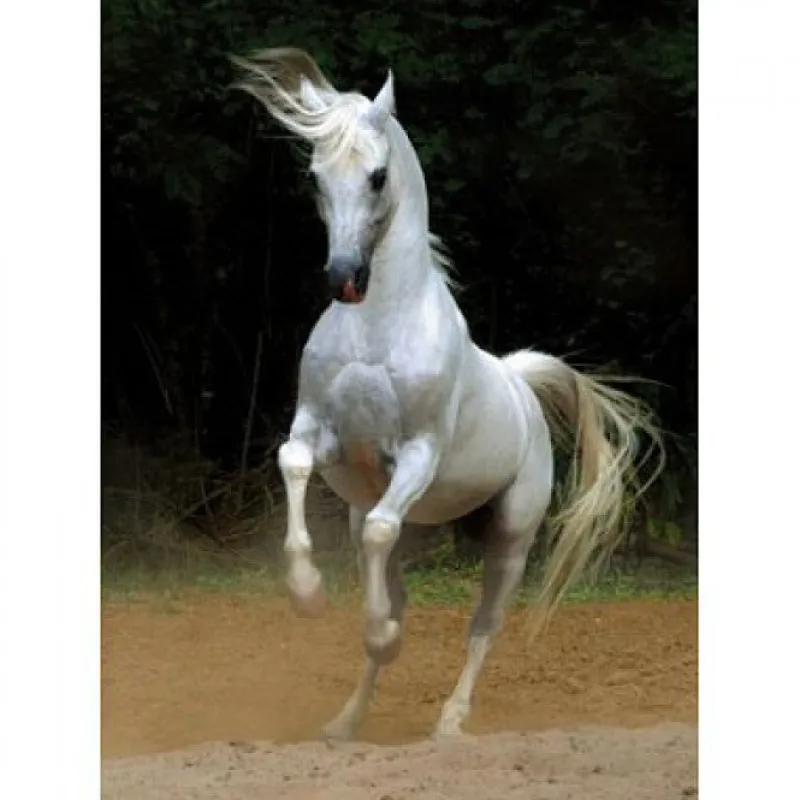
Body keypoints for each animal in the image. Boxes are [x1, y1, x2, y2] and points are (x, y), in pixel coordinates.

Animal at [232, 48, 663, 740]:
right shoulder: (318, 431)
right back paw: (345, 721)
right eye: (316, 176)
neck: (379, 326)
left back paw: (449, 722)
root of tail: (519, 384)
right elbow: (296, 467)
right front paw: (308, 594)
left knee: (483, 626)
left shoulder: (417, 453)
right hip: (411, 518)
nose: (344, 278)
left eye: (377, 176)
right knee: (390, 570)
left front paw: (378, 632)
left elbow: (382, 538)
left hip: (511, 536)